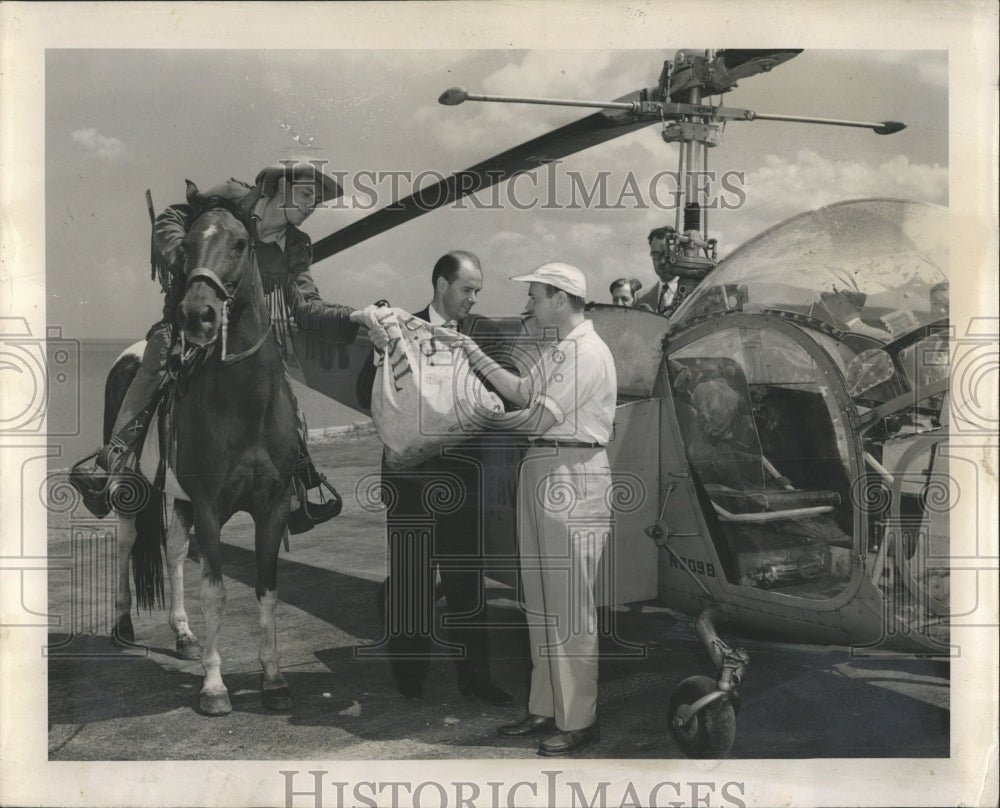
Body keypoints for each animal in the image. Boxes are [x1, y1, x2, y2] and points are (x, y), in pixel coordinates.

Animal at [109, 183, 298, 712]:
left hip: (180, 498)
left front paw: (273, 680)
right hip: (134, 488)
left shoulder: (272, 505)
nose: (197, 315)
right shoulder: (212, 506)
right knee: (127, 542)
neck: (246, 404)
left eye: (240, 243)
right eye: (187, 246)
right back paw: (123, 625)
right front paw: (214, 686)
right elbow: (215, 592)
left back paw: (184, 634)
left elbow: (267, 591)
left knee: (173, 553)